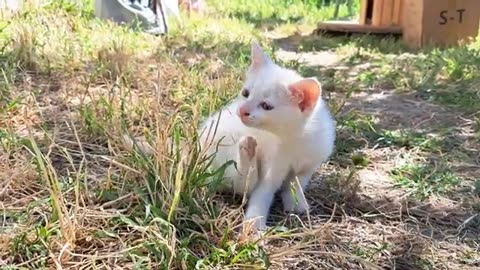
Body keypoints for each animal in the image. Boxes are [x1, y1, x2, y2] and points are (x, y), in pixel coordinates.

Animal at [197, 41, 336, 231]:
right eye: (246, 93)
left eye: (266, 106)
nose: (242, 110)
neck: (294, 138)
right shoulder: (272, 164)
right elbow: (262, 192)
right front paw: (255, 223)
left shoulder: (310, 163)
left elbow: (297, 182)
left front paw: (296, 202)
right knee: (240, 182)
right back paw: (247, 151)